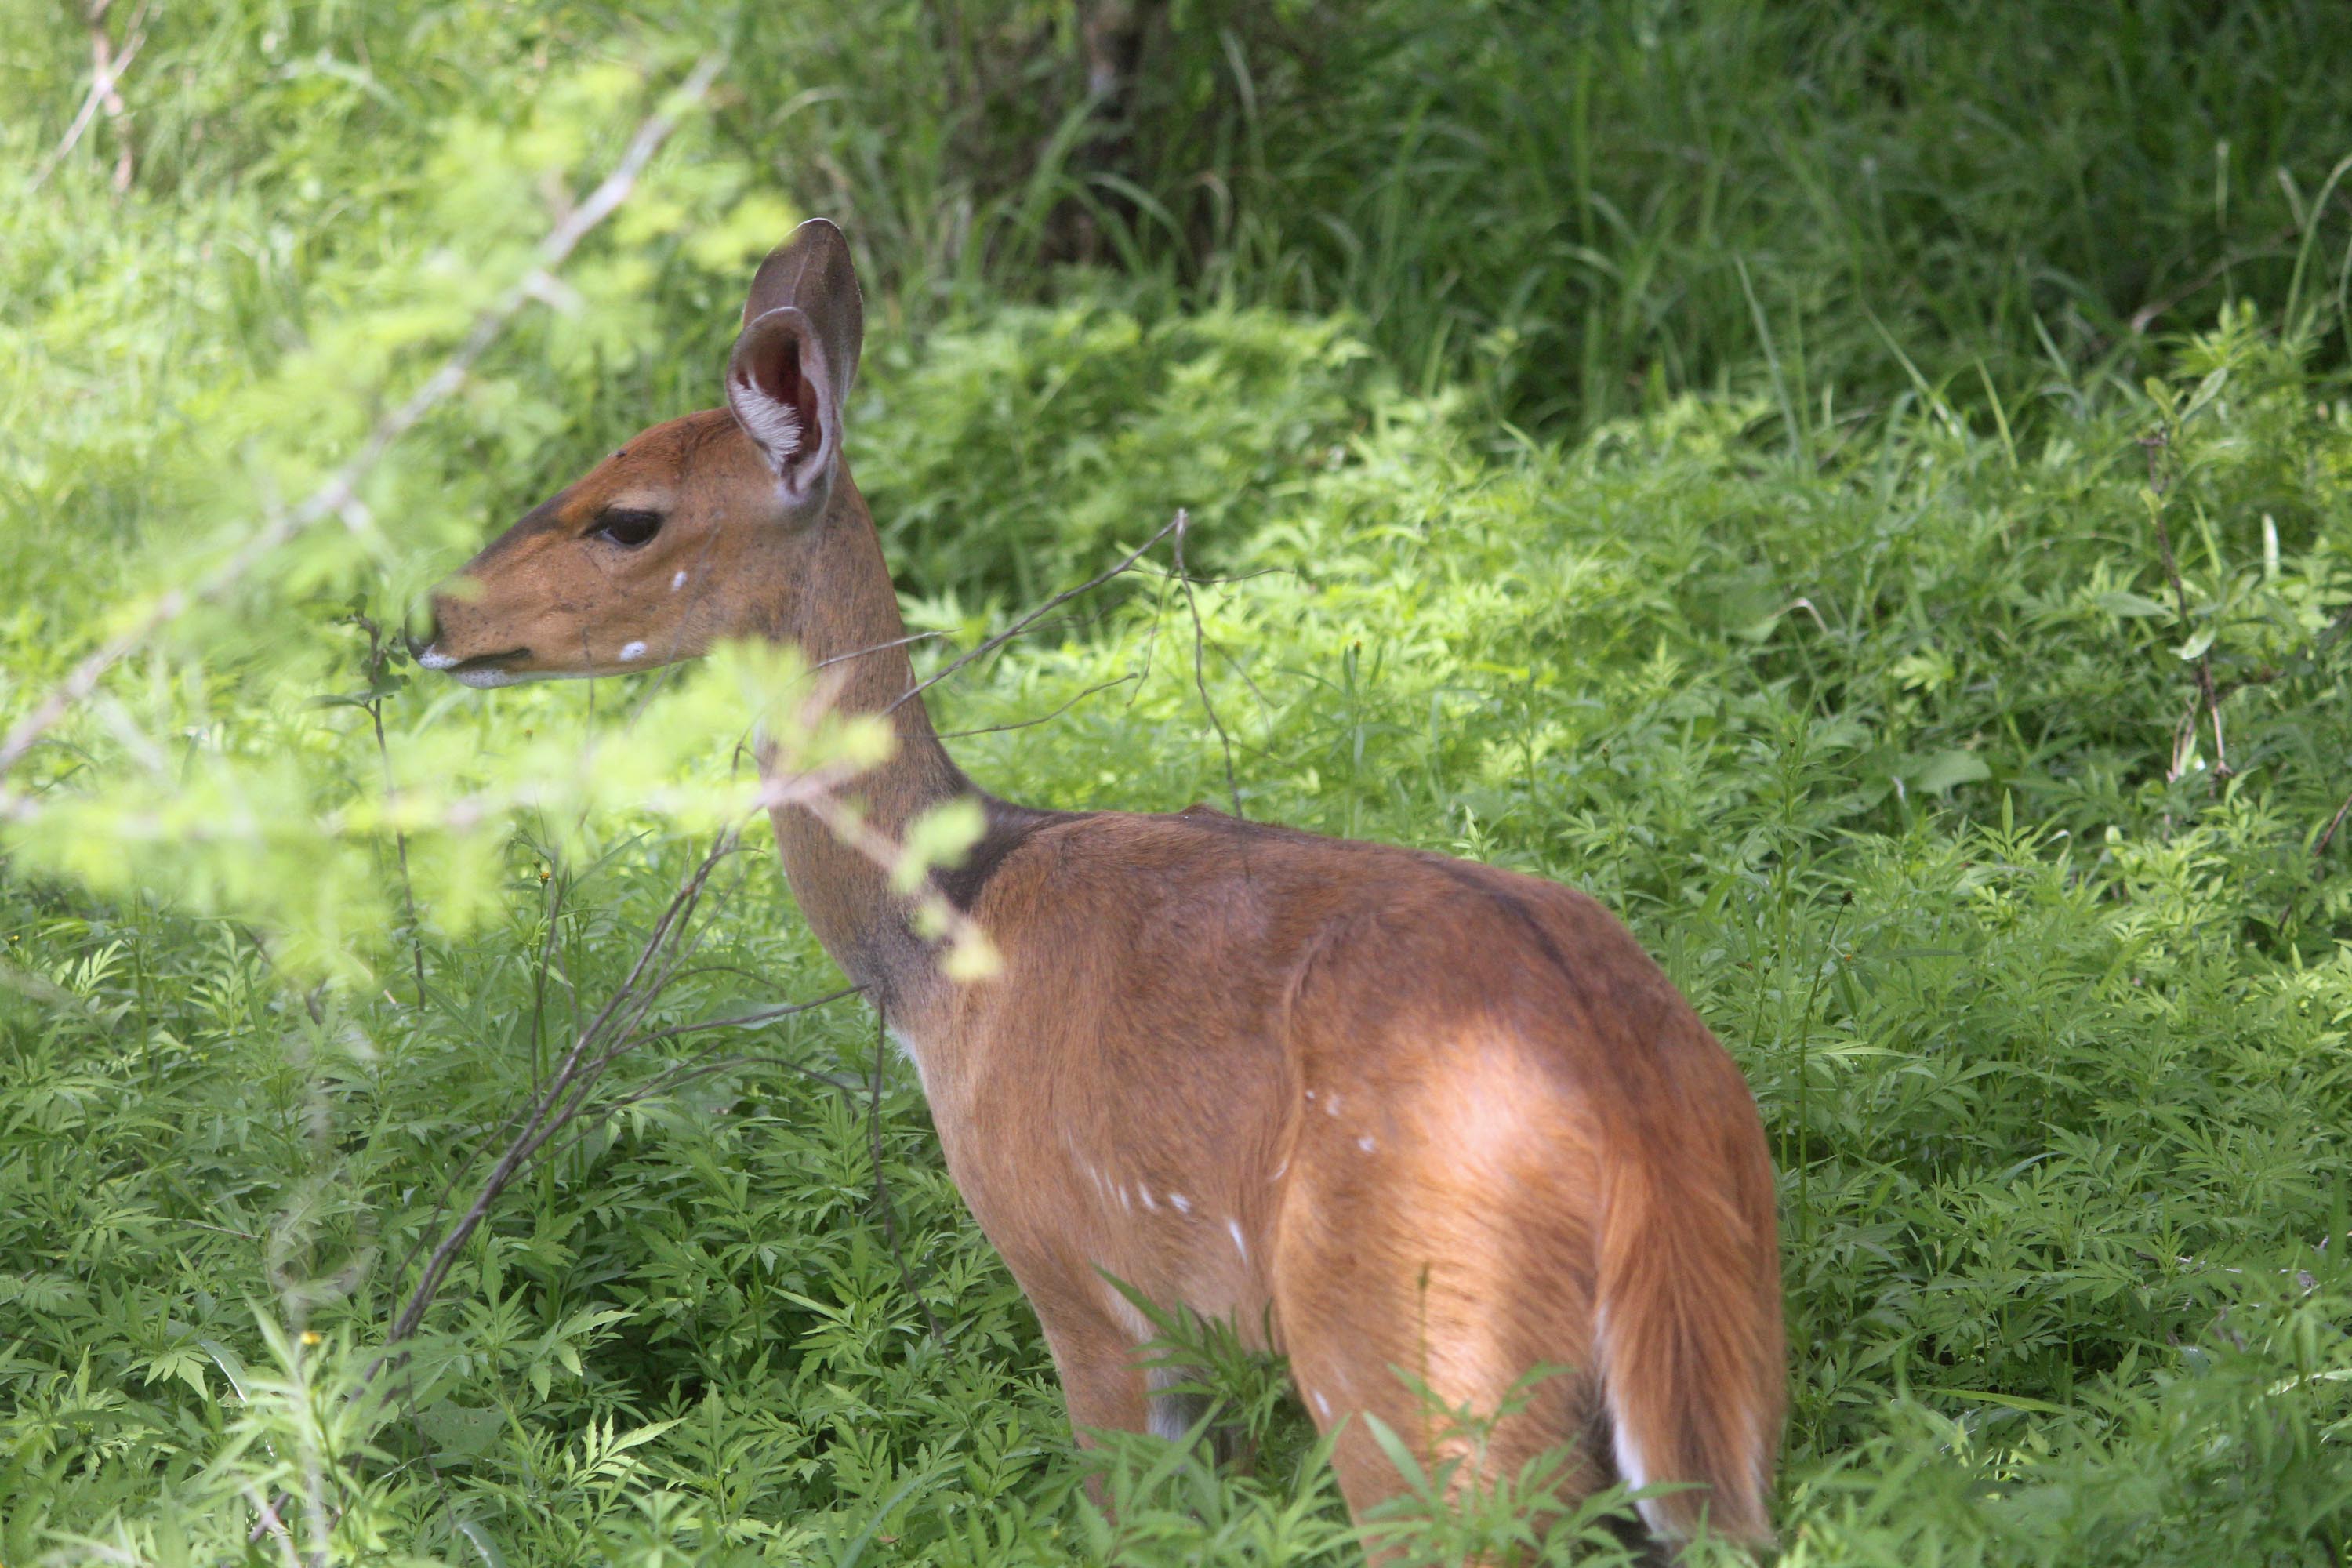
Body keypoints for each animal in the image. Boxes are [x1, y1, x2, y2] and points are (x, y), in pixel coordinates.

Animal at [423, 223, 1778, 1561]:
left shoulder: (1080, 1272)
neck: (941, 945)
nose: (433, 612)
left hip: (1411, 1356)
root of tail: (1631, 1127)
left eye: (627, 519)